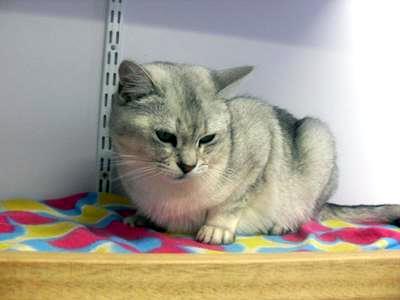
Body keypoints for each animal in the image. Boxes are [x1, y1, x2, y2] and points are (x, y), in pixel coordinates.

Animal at [110, 59, 400, 245]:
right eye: (165, 136)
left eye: (207, 139)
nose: (188, 166)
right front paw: (142, 217)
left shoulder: (260, 143)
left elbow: (230, 203)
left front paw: (216, 229)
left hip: (318, 137)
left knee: (309, 214)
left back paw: (283, 223)